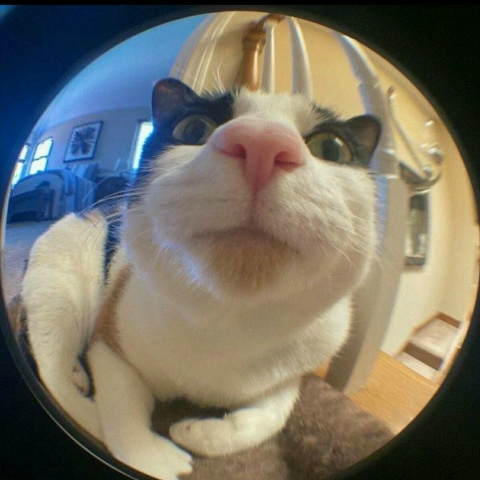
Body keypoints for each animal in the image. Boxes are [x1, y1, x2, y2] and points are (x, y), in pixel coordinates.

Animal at [18, 77, 380, 480]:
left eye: (331, 147)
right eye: (193, 129)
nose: (262, 143)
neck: (229, 319)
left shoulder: (294, 373)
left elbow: (273, 415)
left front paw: (196, 431)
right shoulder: (110, 341)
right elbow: (121, 418)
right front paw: (156, 456)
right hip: (60, 287)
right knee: (54, 372)